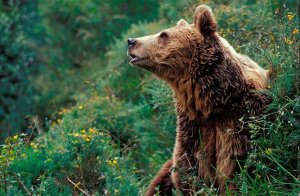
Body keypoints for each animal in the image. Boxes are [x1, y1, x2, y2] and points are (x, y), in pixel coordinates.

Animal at [127, 4, 270, 196]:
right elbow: (188, 170)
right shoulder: (192, 128)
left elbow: (235, 165)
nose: (131, 41)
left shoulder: (239, 119)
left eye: (163, 34)